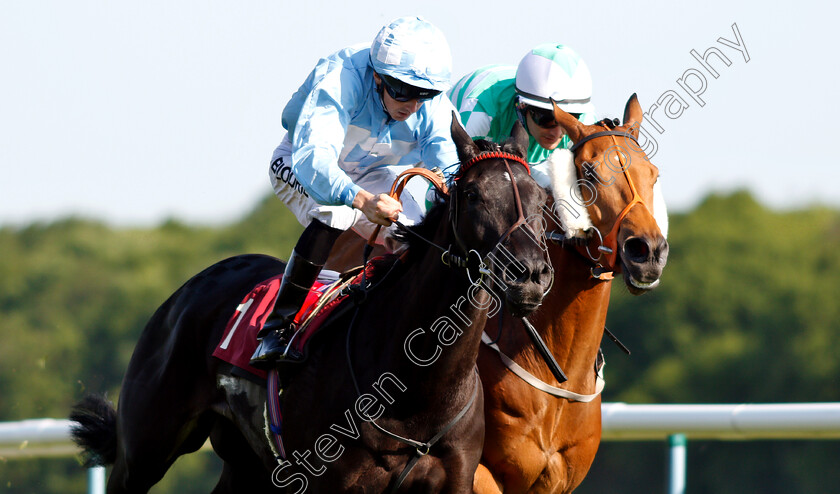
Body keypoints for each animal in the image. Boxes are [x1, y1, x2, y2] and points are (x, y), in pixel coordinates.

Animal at [70, 117, 552, 492]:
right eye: (473, 195)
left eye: (541, 198)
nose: (530, 273)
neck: (416, 392)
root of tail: (185, 292)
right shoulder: (328, 481)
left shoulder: (454, 478)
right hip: (145, 449)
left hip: (247, 464)